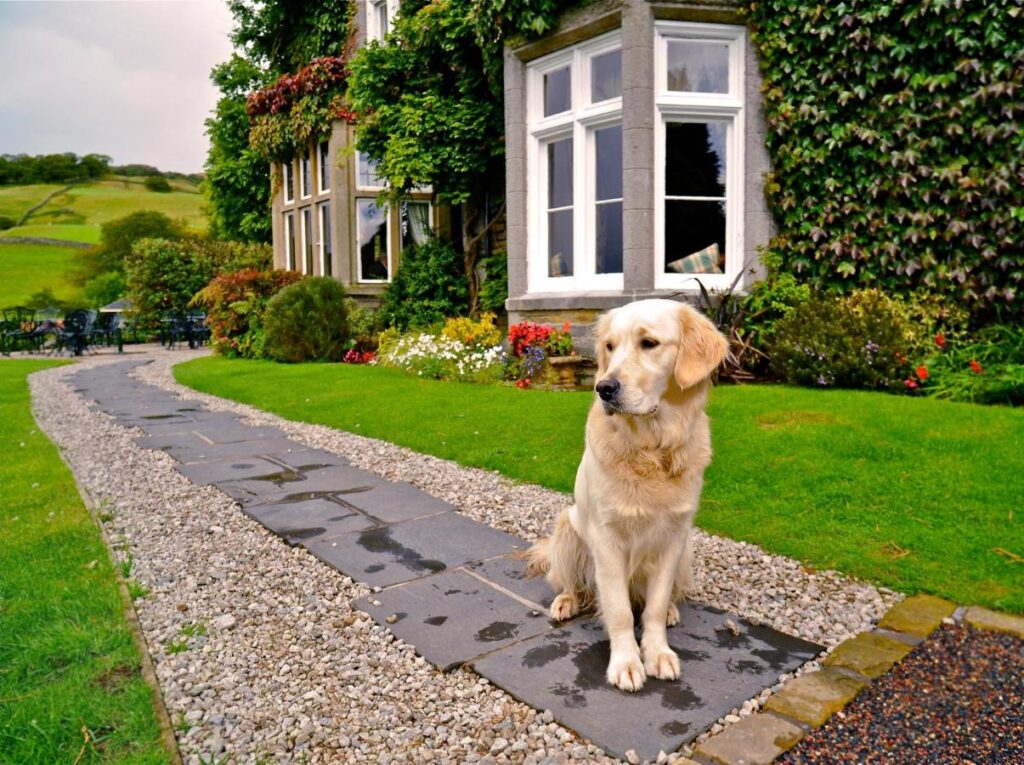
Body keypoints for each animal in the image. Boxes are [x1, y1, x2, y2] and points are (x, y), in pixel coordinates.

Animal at [528, 299, 729, 692]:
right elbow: (619, 610)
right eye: (609, 346)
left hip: (686, 553)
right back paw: (565, 601)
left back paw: (671, 611)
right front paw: (626, 663)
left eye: (648, 343)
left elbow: (653, 607)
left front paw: (657, 652)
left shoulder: (673, 538)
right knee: (572, 583)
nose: (603, 387)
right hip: (567, 529)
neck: (652, 448)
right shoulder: (606, 539)